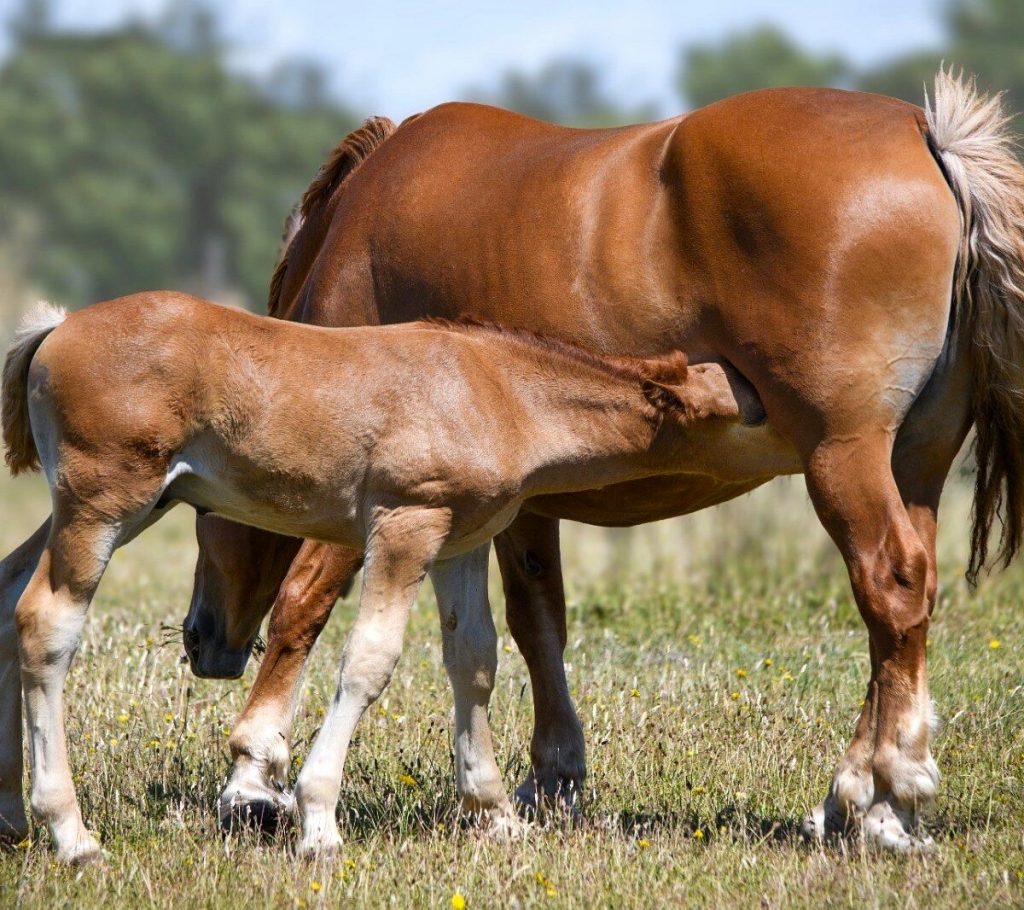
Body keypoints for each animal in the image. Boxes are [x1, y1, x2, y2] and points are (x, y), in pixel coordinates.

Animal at [0, 296, 774, 859]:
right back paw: (70, 834)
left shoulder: (462, 540)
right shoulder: (407, 524)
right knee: (46, 623)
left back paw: (11, 818)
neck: (495, 390)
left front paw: (496, 815)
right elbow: (369, 662)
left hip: (117, 506)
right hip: (104, 505)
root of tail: (57, 329)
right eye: (749, 407)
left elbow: (474, 662)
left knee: (8, 598)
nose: (797, 424)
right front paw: (317, 823)